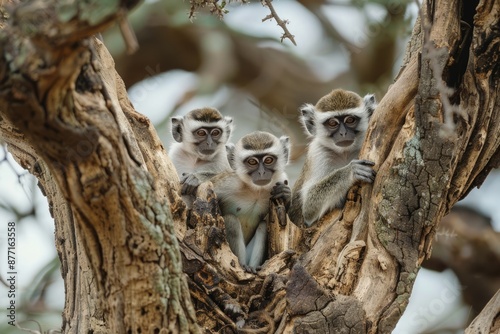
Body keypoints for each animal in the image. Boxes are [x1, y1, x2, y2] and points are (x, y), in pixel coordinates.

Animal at [212, 130, 292, 272]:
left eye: (268, 160)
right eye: (252, 162)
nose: (262, 172)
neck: (256, 191)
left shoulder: (281, 179)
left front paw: (286, 195)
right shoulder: (229, 183)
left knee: (263, 226)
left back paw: (252, 267)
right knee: (231, 221)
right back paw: (243, 265)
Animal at [290, 88, 378, 227]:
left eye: (350, 120)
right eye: (332, 123)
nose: (343, 133)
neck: (344, 153)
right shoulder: (318, 153)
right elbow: (309, 207)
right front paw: (351, 171)